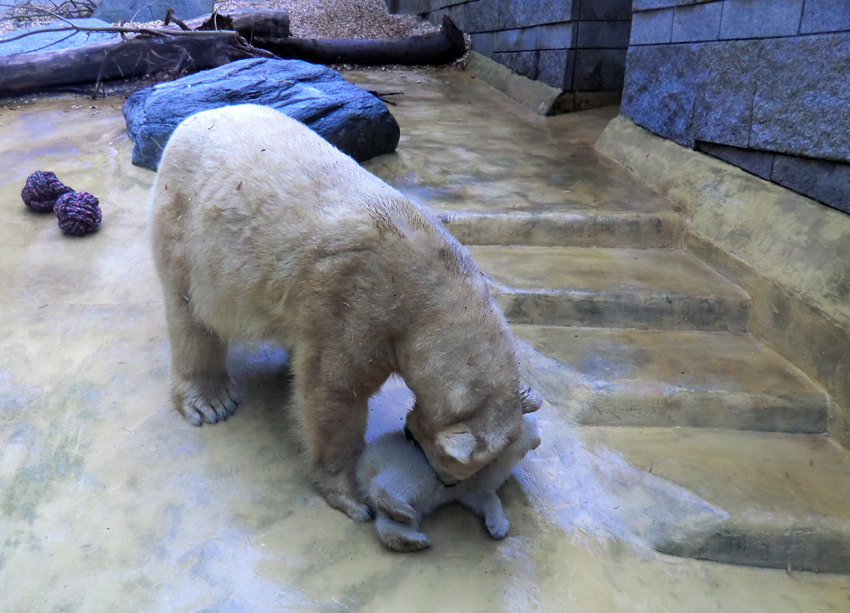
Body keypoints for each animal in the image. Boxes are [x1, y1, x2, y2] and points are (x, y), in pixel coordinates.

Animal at [149, 103, 540, 520]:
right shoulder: (357, 299)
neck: (433, 287)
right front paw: (354, 497)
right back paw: (210, 401)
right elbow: (333, 392)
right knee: (188, 311)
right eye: (453, 475)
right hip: (185, 221)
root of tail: (194, 119)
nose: (445, 483)